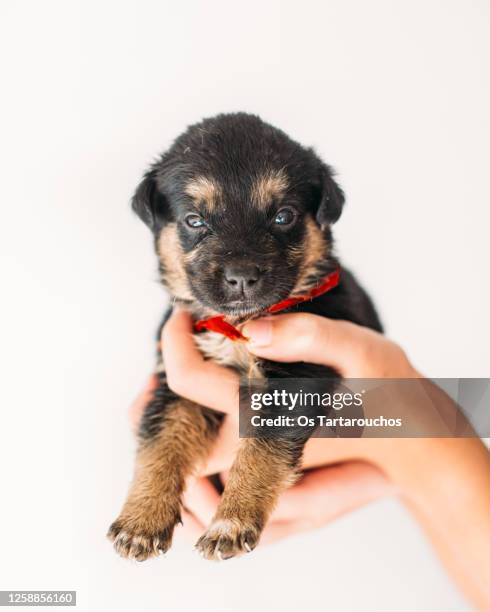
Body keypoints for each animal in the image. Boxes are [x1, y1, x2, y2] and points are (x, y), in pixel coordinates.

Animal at [107, 112, 382, 560]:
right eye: (194, 220)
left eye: (284, 216)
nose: (241, 278)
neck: (237, 326)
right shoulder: (175, 384)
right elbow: (160, 443)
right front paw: (140, 519)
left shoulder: (298, 377)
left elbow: (261, 450)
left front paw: (231, 521)